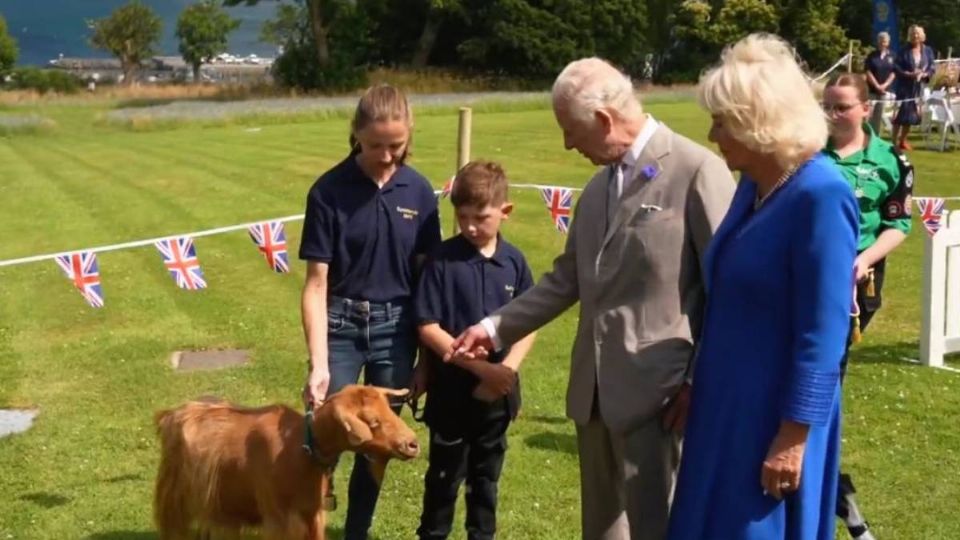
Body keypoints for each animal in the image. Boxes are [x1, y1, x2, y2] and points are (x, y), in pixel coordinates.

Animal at [155, 384, 420, 540]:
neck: (301, 448)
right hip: (174, 495)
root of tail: (172, 414)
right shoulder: (279, 517)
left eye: (390, 409)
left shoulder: (312, 512)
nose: (413, 443)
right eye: (372, 421)